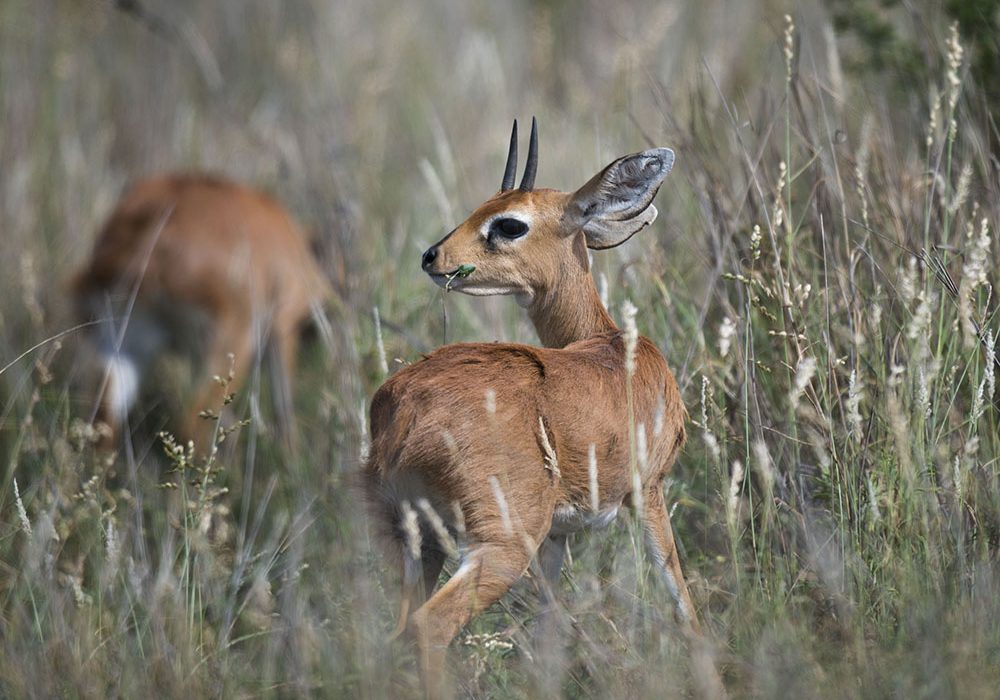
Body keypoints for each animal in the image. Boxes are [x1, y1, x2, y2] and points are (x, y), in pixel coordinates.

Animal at [73, 173, 331, 452]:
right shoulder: (282, 329)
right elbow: (284, 408)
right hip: (235, 343)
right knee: (193, 423)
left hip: (123, 348)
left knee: (103, 423)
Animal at [364, 119, 724, 698]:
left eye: (508, 222)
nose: (432, 256)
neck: (611, 345)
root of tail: (400, 408)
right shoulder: (649, 491)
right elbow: (681, 600)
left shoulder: (557, 535)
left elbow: (548, 639)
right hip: (501, 546)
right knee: (428, 628)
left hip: (417, 543)